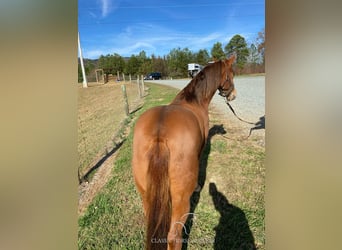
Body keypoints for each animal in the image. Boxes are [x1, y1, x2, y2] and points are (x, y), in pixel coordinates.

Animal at [132, 55, 236, 250]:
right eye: (231, 74)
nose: (233, 95)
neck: (194, 101)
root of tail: (159, 136)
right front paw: (197, 187)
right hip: (181, 202)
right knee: (174, 236)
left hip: (146, 195)